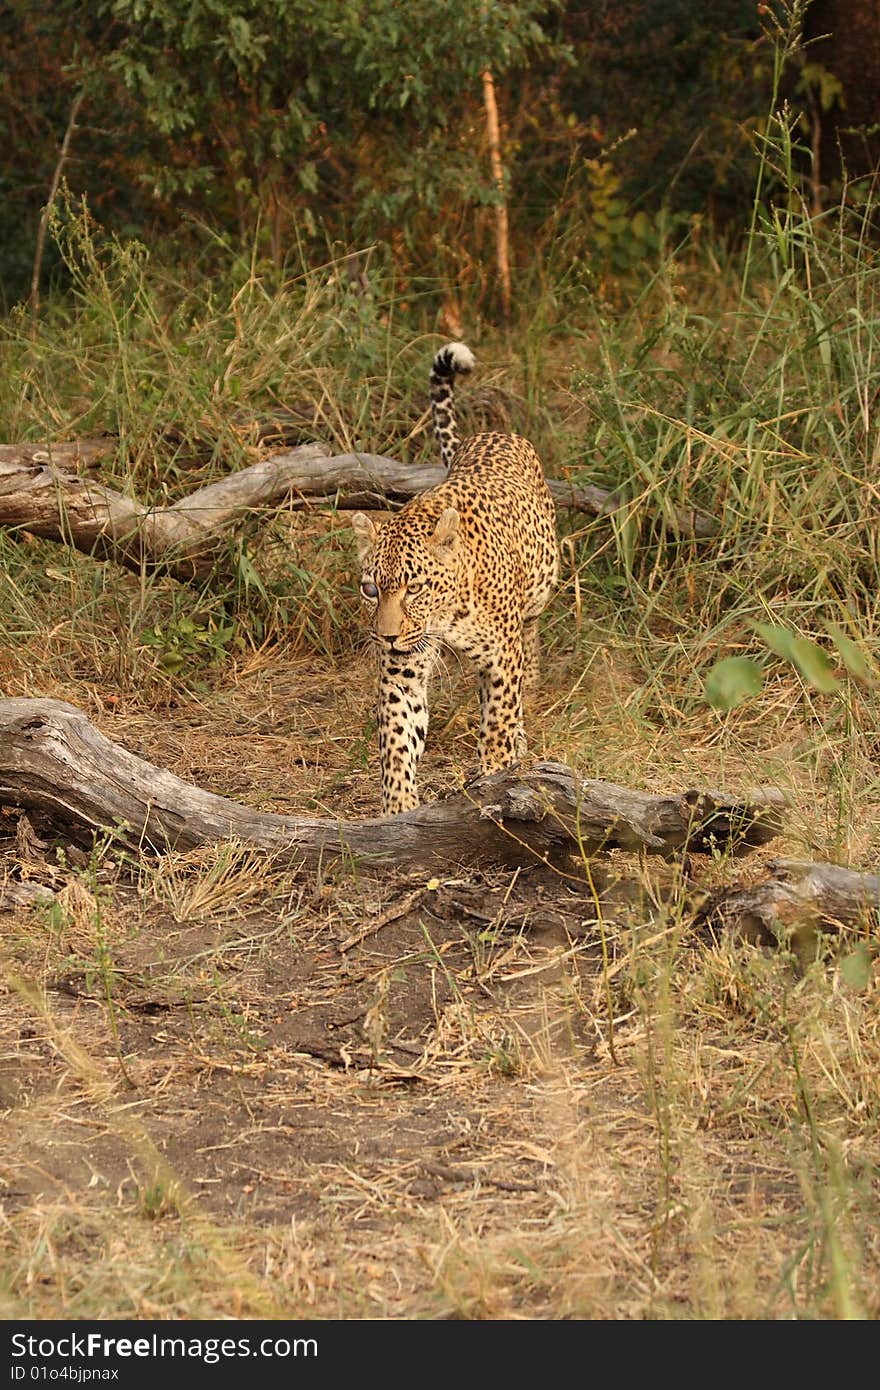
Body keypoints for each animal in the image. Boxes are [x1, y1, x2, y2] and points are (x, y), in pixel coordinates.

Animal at [348, 343, 556, 811]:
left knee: (529, 636)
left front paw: (496, 773)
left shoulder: (501, 657)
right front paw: (399, 808)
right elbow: (398, 740)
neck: (446, 615)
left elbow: (497, 720)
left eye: (415, 587)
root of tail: (492, 434)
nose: (386, 636)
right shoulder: (403, 669)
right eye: (370, 589)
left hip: (540, 585)